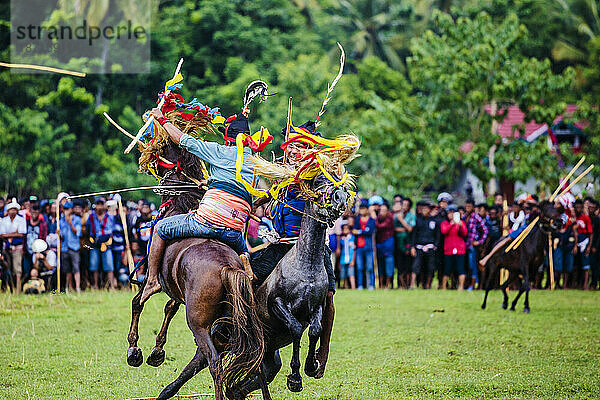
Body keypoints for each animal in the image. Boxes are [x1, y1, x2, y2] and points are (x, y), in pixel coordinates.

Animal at [125, 141, 264, 400]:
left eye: (158, 147)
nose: (146, 160)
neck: (179, 206)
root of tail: (227, 267)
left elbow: (138, 302)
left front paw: (134, 350)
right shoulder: (177, 291)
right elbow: (169, 309)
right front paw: (157, 351)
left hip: (199, 325)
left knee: (214, 363)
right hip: (239, 323)